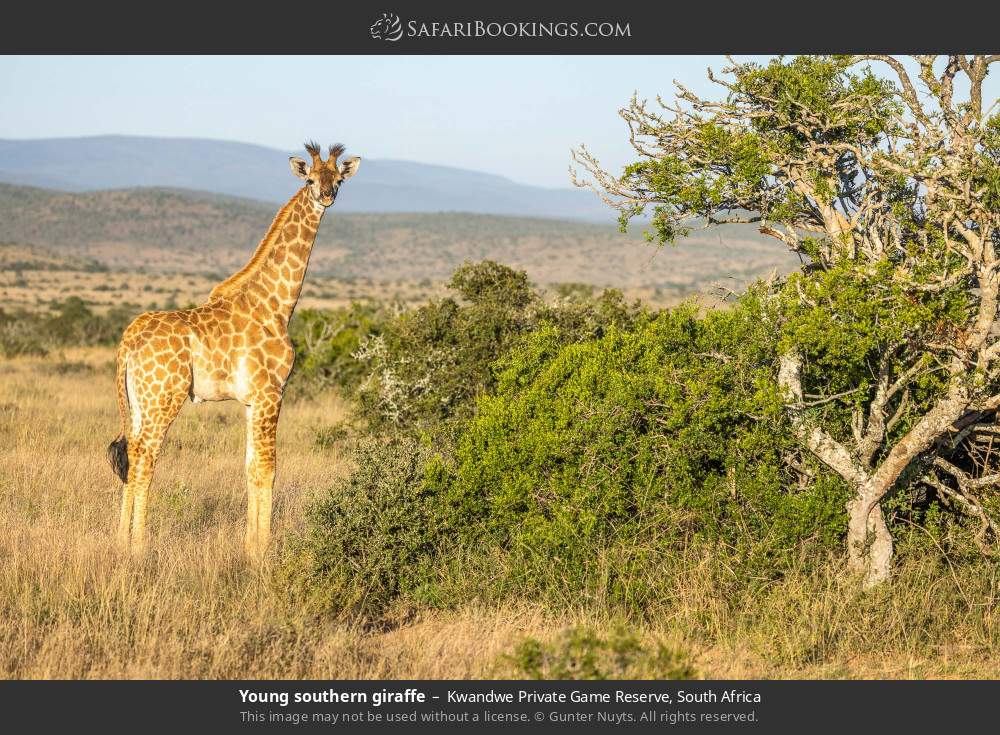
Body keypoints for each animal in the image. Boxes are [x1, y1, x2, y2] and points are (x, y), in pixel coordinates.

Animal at [107, 141, 361, 558]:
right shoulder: (272, 393)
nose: (326, 197)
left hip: (139, 400)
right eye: (309, 179)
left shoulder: (250, 400)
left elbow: (249, 466)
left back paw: (121, 541)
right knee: (145, 456)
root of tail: (129, 340)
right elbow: (268, 467)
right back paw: (140, 548)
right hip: (165, 397)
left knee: (131, 453)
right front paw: (263, 551)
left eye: (338, 180)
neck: (276, 304)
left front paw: (249, 545)